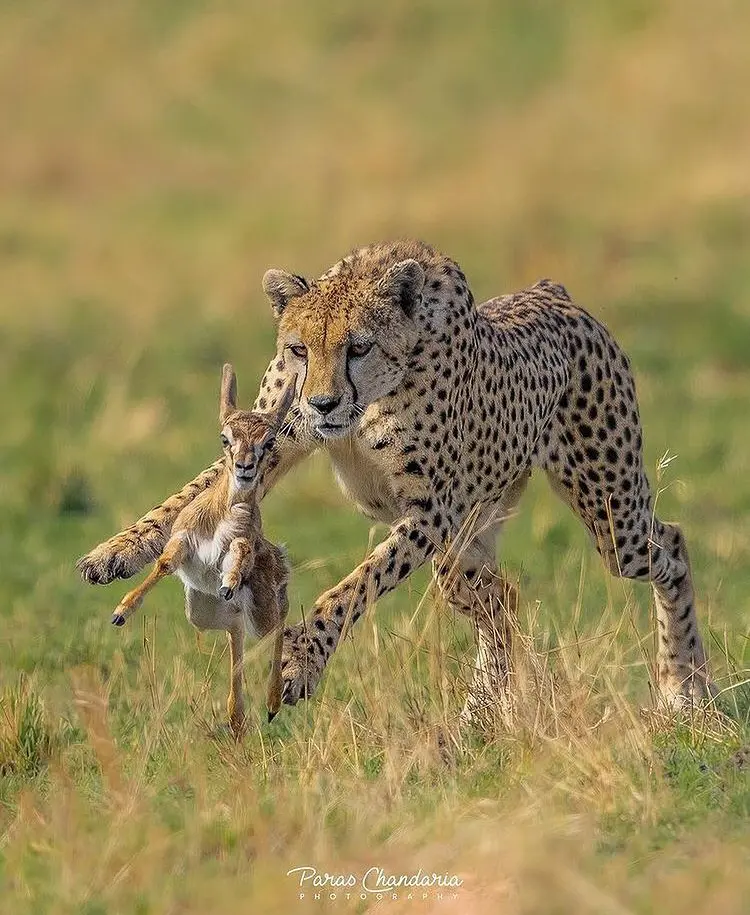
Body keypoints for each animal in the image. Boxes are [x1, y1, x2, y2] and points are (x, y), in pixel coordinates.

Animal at [79, 240, 720, 720]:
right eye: (299, 349)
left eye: (358, 347)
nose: (323, 403)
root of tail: (552, 293)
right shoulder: (271, 436)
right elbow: (193, 493)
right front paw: (116, 551)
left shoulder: (428, 513)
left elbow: (354, 585)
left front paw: (300, 660)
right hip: (467, 544)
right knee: (500, 597)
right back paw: (482, 713)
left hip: (609, 517)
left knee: (671, 544)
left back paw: (683, 687)